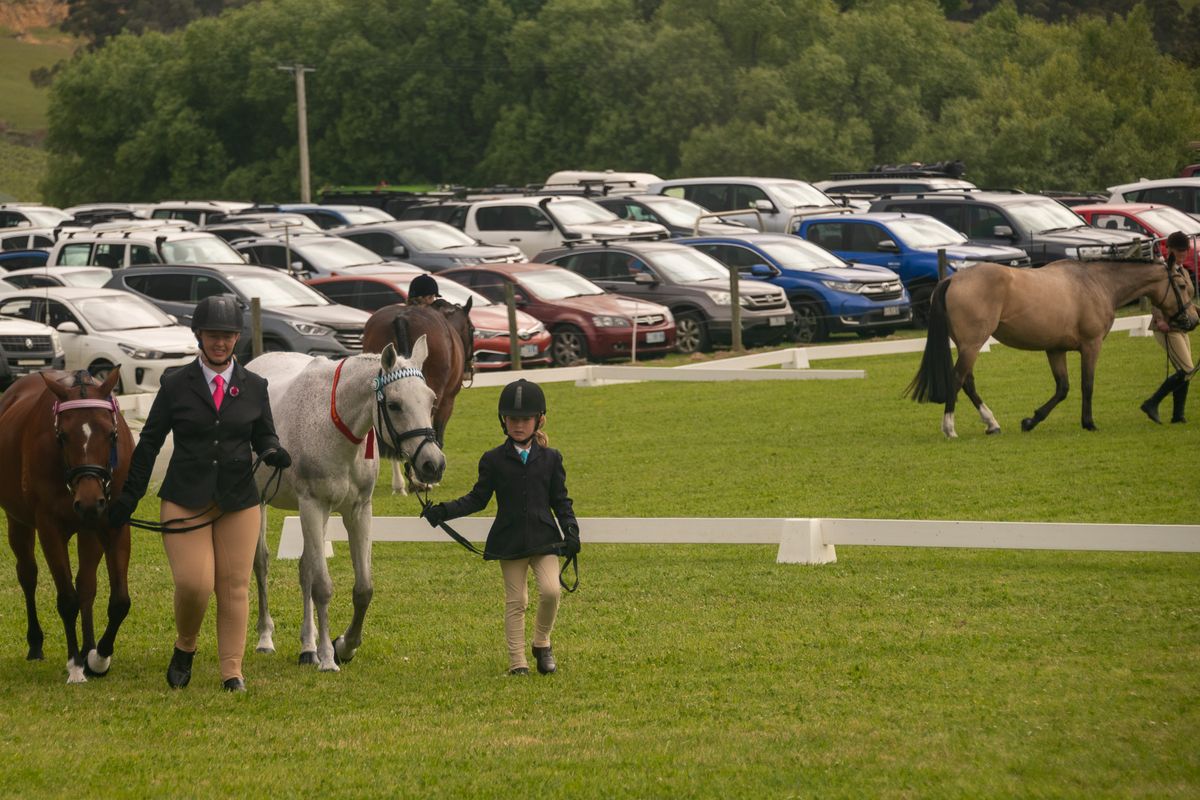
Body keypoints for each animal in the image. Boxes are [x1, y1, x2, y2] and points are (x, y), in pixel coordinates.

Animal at [0, 369, 132, 681]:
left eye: (111, 433)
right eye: (62, 435)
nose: (89, 502)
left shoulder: (113, 525)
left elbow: (118, 601)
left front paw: (98, 657)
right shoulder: (48, 528)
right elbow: (67, 599)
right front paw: (75, 666)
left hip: (89, 529)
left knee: (86, 585)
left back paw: (88, 649)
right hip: (18, 522)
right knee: (28, 575)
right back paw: (36, 644)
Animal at [248, 340, 446, 671]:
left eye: (431, 401)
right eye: (394, 405)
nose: (433, 464)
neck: (332, 424)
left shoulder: (358, 510)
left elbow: (363, 589)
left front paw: (344, 645)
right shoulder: (312, 506)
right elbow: (323, 586)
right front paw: (329, 658)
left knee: (305, 568)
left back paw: (308, 647)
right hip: (261, 501)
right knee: (261, 563)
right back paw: (266, 639)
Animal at [912, 257, 1195, 438]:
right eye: (1181, 286)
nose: (1192, 321)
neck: (1096, 283)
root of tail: (952, 279)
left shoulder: (1055, 349)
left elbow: (1063, 388)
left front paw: (1030, 421)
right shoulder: (1091, 345)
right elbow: (1087, 385)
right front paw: (1089, 423)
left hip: (967, 346)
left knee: (968, 382)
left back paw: (991, 424)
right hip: (972, 345)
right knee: (958, 379)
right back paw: (950, 428)